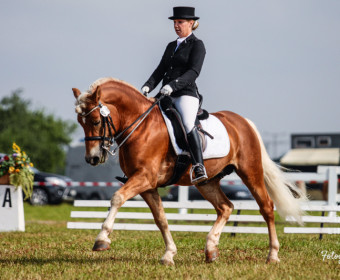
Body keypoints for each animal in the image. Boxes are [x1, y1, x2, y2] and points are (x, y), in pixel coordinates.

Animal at [71, 77, 306, 266]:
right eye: (80, 123)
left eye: (96, 121)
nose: (92, 158)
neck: (141, 126)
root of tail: (243, 122)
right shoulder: (147, 185)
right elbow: (161, 219)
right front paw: (169, 255)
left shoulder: (144, 178)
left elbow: (117, 198)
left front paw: (102, 239)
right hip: (207, 181)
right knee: (225, 207)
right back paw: (211, 250)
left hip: (251, 172)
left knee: (266, 207)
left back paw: (272, 255)